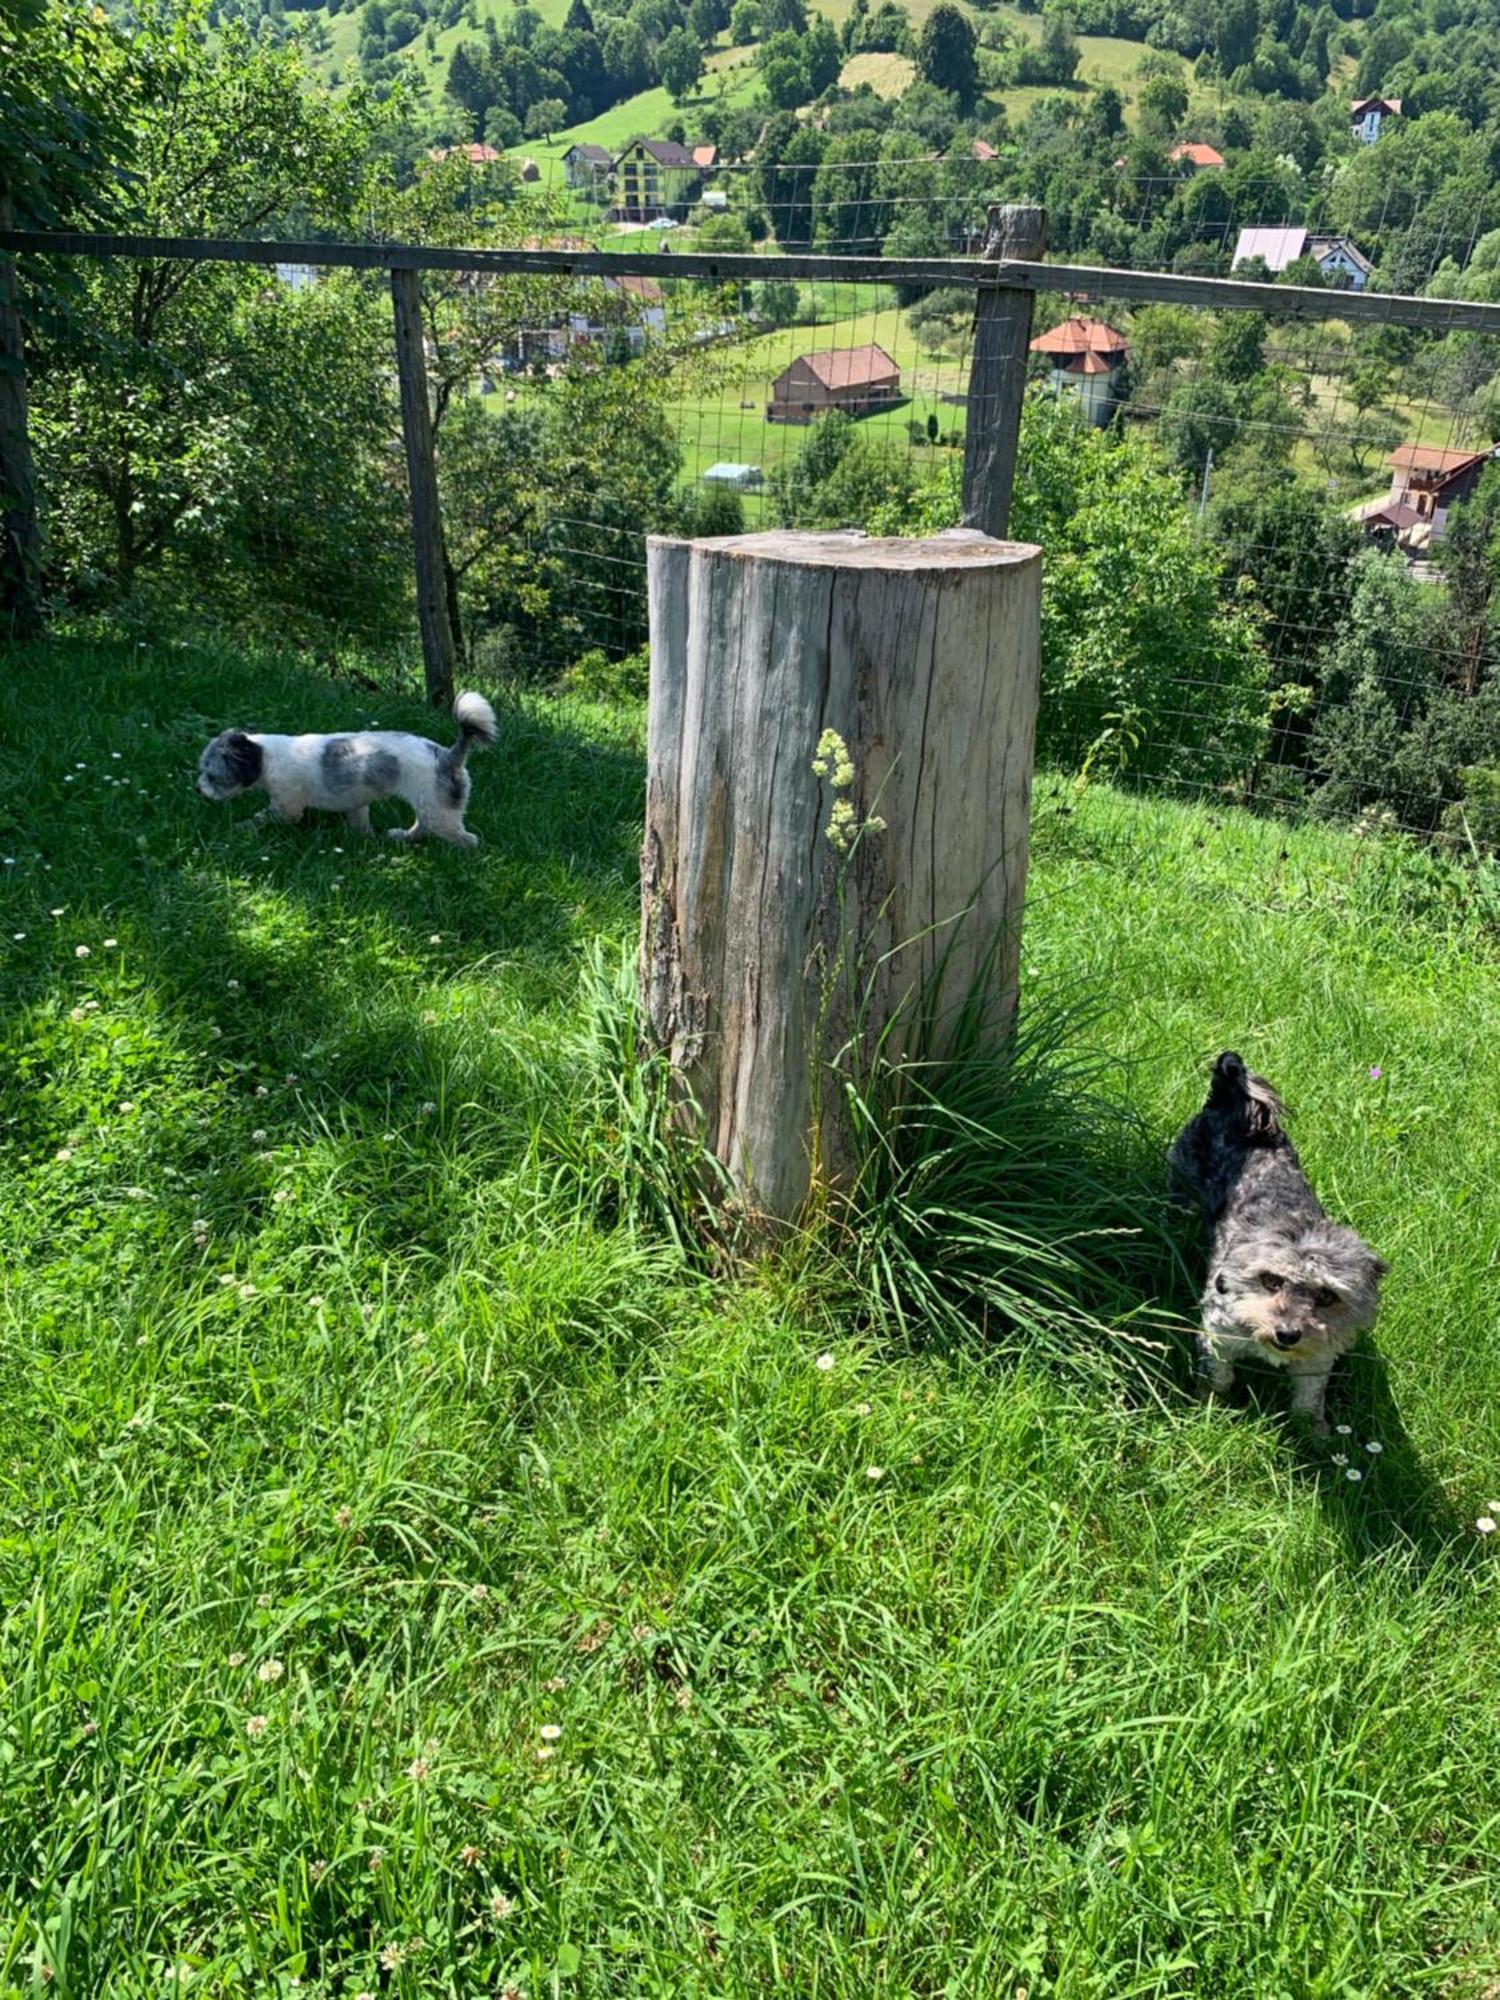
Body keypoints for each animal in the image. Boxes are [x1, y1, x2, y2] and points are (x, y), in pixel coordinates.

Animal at [191, 692, 500, 848]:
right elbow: (359, 822)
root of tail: (448, 755)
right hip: (431, 806)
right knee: (422, 825)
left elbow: (262, 817)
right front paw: (364, 840)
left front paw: (242, 828)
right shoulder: (355, 804)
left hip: (439, 810)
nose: (198, 790)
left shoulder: (286, 806)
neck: (266, 755)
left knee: (466, 838)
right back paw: (402, 837)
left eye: (212, 776)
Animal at [1168, 1056, 1392, 1432]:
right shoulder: (1217, 1336)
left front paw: (1315, 1433)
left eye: (1327, 1296)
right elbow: (1217, 1379)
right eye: (1271, 1280)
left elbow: (1309, 1398)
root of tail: (1233, 1099)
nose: (1287, 1333)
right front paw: (1208, 1411)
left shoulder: (1317, 1356)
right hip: (1180, 1179)